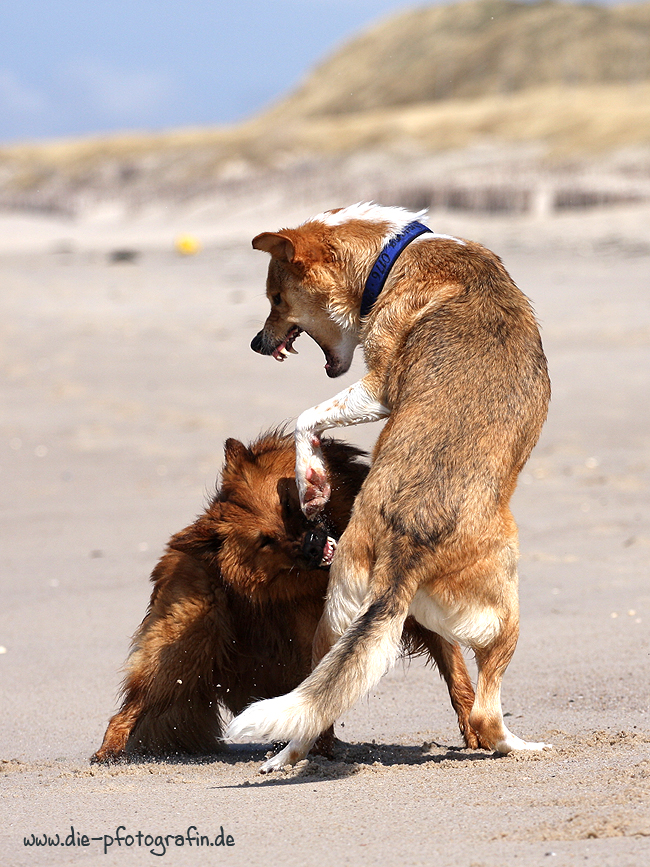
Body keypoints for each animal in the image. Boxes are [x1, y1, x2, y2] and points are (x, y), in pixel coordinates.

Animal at [91, 430, 478, 764]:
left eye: (289, 505)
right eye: (266, 541)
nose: (313, 545)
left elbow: (456, 673)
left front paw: (475, 729)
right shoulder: (315, 631)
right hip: (184, 646)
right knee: (132, 705)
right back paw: (109, 752)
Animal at [225, 205, 548, 772]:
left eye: (275, 299)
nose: (256, 344)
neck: (391, 255)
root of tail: (404, 551)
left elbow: (307, 421)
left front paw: (312, 486)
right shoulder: (378, 390)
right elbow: (307, 416)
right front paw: (311, 479)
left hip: (335, 617)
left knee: (316, 704)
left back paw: (285, 758)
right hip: (505, 614)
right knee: (487, 714)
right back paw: (523, 747)